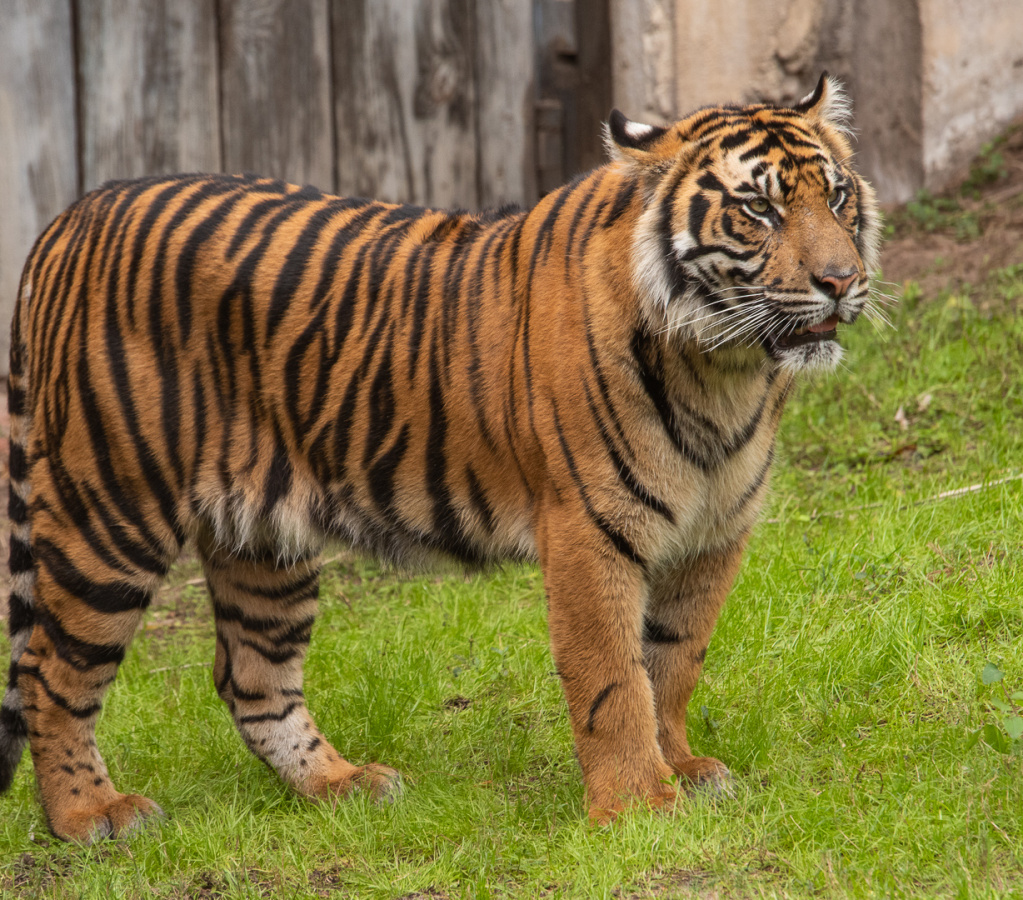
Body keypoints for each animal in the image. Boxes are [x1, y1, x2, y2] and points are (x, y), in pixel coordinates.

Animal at [0, 73, 880, 841]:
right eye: (758, 210)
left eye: (836, 197)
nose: (840, 281)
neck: (723, 369)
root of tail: (72, 215)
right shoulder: (589, 533)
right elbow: (613, 679)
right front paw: (637, 806)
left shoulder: (712, 533)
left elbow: (673, 664)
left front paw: (684, 769)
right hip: (109, 511)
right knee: (49, 671)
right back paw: (90, 816)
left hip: (261, 534)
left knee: (251, 675)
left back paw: (342, 785)